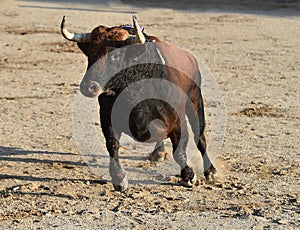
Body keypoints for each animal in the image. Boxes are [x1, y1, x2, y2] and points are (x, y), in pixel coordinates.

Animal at [60, 16, 216, 191]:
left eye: (115, 55)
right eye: (91, 54)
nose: (88, 86)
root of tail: (191, 58)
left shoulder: (177, 120)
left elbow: (180, 150)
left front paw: (189, 176)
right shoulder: (107, 117)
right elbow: (112, 144)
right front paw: (119, 178)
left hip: (195, 100)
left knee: (199, 136)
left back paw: (210, 171)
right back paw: (159, 152)